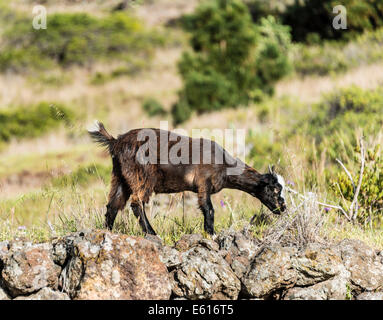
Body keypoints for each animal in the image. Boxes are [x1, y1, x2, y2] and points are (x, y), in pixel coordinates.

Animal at [89, 122, 288, 235]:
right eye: (274, 189)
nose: (283, 207)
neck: (224, 165)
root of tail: (115, 141)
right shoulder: (203, 183)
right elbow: (209, 209)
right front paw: (210, 233)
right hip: (142, 175)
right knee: (137, 203)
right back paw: (151, 233)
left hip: (120, 176)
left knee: (113, 205)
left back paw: (107, 231)